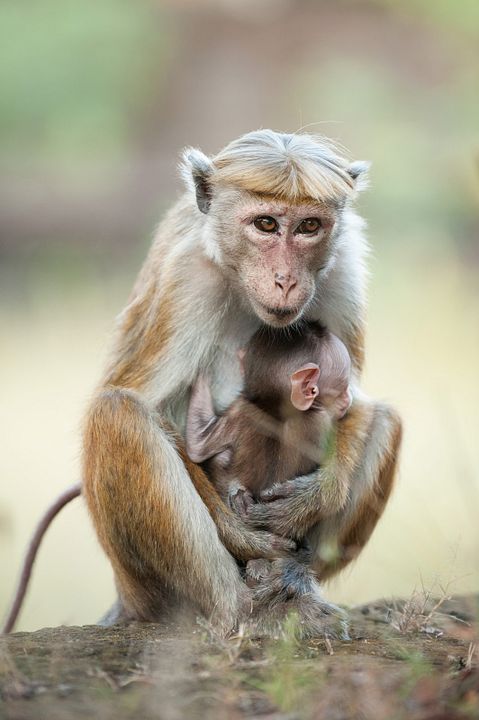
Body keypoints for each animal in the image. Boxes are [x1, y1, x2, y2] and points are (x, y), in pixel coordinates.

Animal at [185, 323, 352, 519]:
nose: (349, 399)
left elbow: (197, 447)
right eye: (343, 389)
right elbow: (197, 447)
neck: (278, 407)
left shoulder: (239, 408)